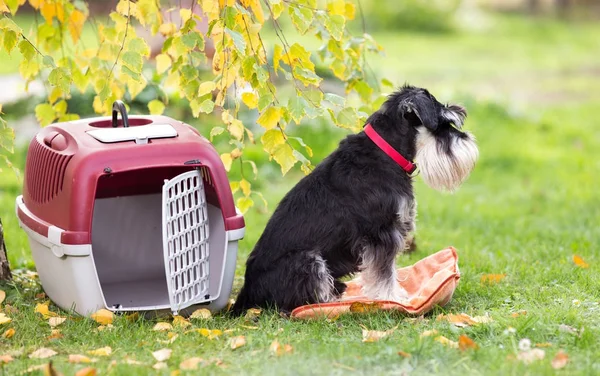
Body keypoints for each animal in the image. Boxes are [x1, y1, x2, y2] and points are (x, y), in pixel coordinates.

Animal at [230, 84, 478, 314]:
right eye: (445, 123)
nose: (470, 143)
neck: (386, 152)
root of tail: (245, 294)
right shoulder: (382, 234)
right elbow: (384, 273)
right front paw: (393, 299)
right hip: (307, 261)